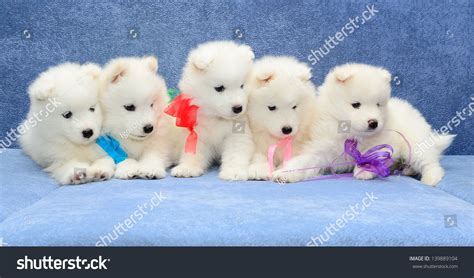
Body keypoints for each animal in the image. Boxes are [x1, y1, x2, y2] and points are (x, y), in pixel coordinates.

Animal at [170, 40, 256, 180]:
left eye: (242, 86)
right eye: (219, 88)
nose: (238, 108)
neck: (216, 118)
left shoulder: (237, 134)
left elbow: (235, 153)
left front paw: (233, 172)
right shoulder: (197, 133)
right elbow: (193, 152)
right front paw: (187, 168)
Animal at [274, 62, 456, 186]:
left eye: (378, 105)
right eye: (356, 105)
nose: (374, 122)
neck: (351, 135)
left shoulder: (386, 141)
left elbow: (374, 154)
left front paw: (364, 169)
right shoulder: (321, 148)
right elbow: (302, 162)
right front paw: (284, 173)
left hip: (415, 144)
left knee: (430, 162)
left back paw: (430, 178)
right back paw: (407, 169)